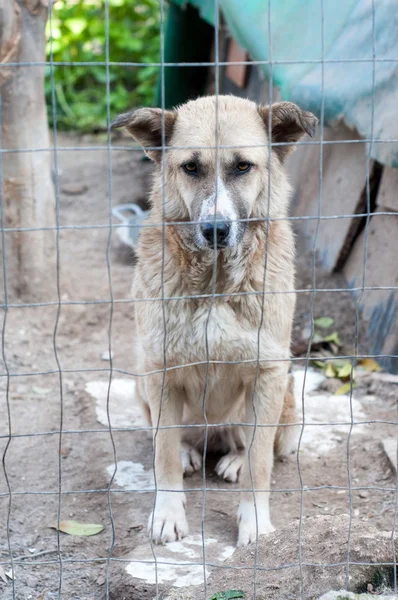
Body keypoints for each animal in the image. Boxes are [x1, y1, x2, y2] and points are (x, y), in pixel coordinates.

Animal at [112, 95, 318, 548]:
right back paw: (189, 452)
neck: (214, 281)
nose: (215, 230)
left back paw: (234, 459)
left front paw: (255, 521)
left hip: (283, 393)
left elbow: (260, 462)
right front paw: (168, 516)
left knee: (260, 444)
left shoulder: (268, 370)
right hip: (141, 382)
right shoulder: (160, 369)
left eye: (243, 166)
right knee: (171, 439)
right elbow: (163, 455)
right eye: (190, 167)